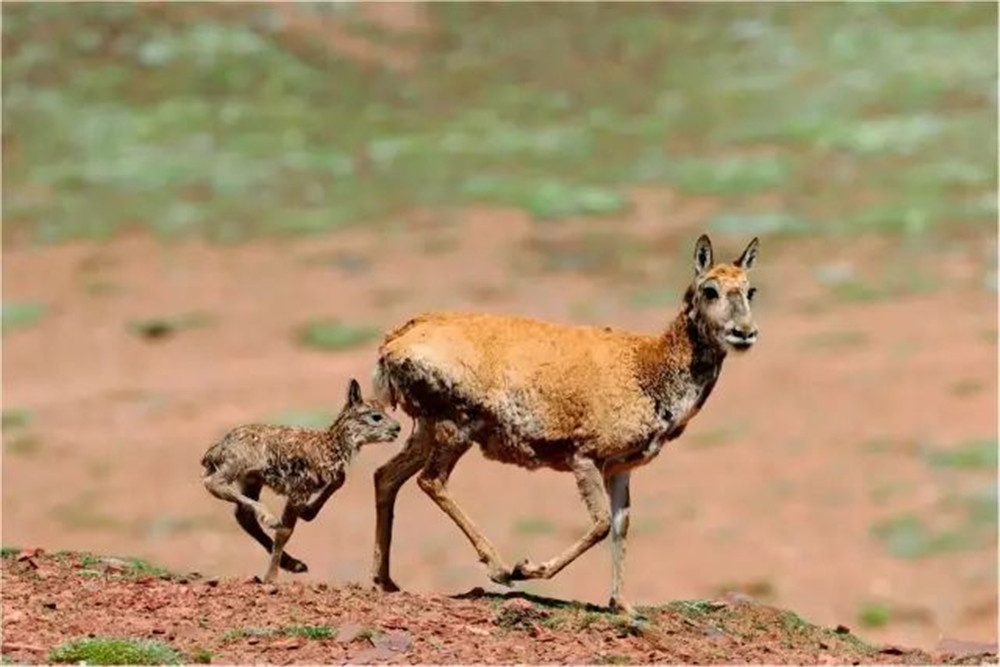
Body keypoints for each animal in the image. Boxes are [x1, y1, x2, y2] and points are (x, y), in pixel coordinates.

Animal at [201, 378, 400, 580]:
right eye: (376, 416)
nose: (397, 428)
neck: (328, 445)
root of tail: (215, 450)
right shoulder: (299, 488)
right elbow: (285, 531)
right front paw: (270, 577)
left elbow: (340, 478)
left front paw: (307, 512)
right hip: (239, 464)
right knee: (214, 483)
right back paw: (270, 519)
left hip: (251, 479)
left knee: (242, 515)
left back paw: (294, 563)